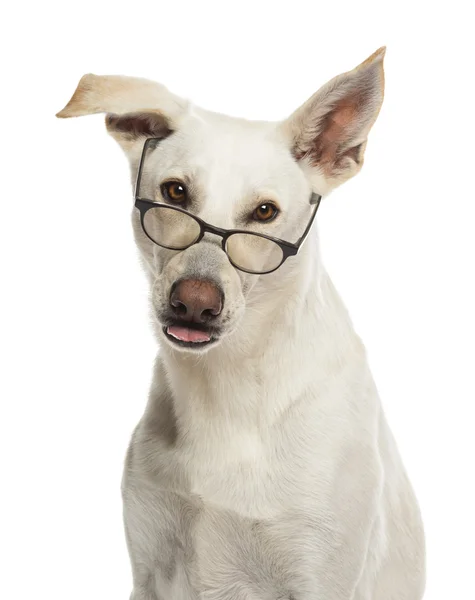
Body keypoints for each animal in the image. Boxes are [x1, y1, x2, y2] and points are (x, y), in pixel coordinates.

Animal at [57, 48, 426, 600]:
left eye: (265, 212)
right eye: (175, 192)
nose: (194, 303)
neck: (227, 388)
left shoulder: (319, 575)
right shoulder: (149, 569)